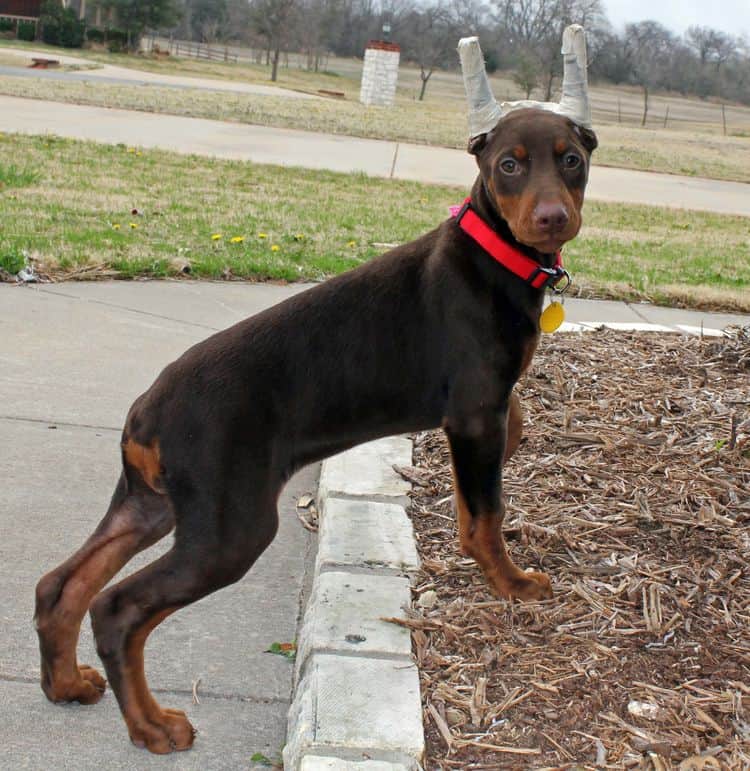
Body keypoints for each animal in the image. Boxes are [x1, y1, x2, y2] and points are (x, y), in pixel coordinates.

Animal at [35, 105, 600, 752]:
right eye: (509, 164)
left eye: (572, 159)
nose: (552, 217)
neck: (495, 256)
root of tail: (147, 410)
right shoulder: (477, 407)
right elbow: (489, 511)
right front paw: (511, 584)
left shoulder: (480, 409)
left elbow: (502, 451)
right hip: (230, 531)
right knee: (116, 608)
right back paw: (152, 726)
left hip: (151, 504)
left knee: (61, 585)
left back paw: (66, 683)